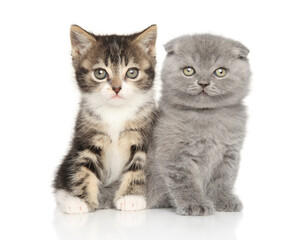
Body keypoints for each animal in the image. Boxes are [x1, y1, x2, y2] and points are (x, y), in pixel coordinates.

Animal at [54, 24, 157, 214]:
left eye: (132, 72)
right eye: (100, 73)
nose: (116, 88)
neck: (116, 113)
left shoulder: (144, 137)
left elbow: (138, 167)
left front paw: (131, 198)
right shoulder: (86, 138)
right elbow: (83, 169)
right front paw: (81, 201)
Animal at [147, 33, 252, 216]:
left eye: (220, 72)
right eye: (188, 70)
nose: (203, 83)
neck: (206, 116)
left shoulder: (229, 153)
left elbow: (224, 179)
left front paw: (223, 200)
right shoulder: (175, 154)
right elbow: (186, 181)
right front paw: (195, 204)